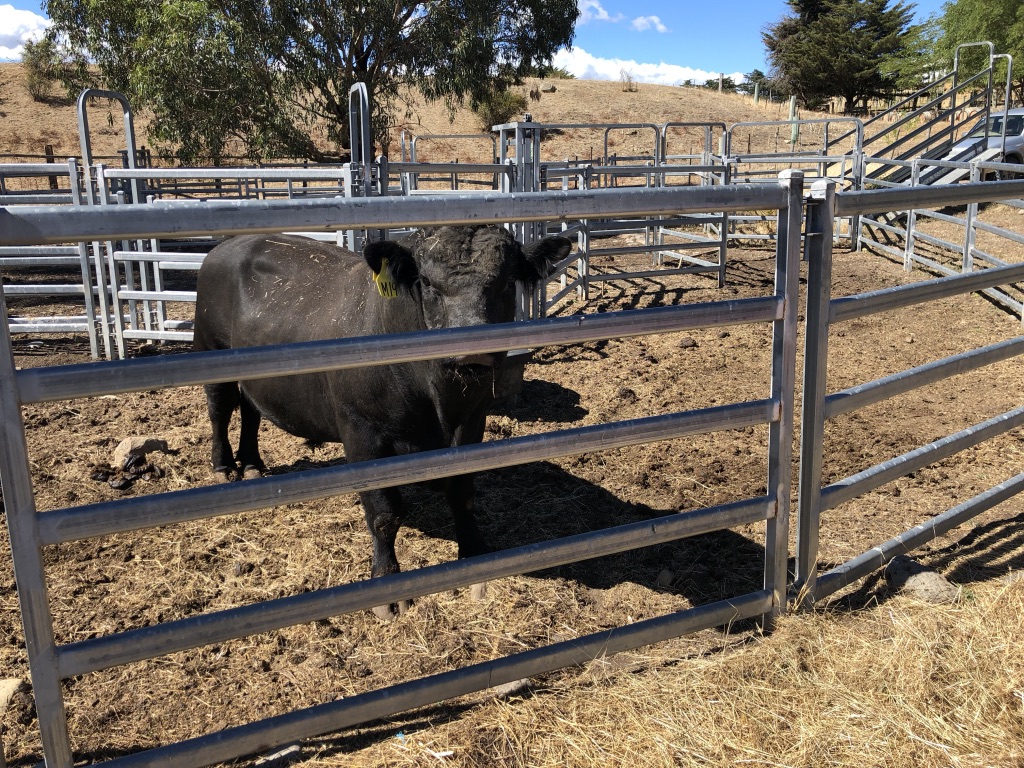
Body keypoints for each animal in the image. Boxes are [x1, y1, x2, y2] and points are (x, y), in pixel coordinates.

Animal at [193, 224, 577, 618]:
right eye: (427, 282)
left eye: (506, 281)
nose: (472, 350)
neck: (438, 400)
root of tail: (233, 243)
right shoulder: (363, 435)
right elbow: (384, 514)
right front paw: (387, 585)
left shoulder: (472, 423)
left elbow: (463, 495)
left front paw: (473, 556)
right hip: (210, 349)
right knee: (220, 408)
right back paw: (224, 466)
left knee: (251, 410)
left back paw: (252, 463)